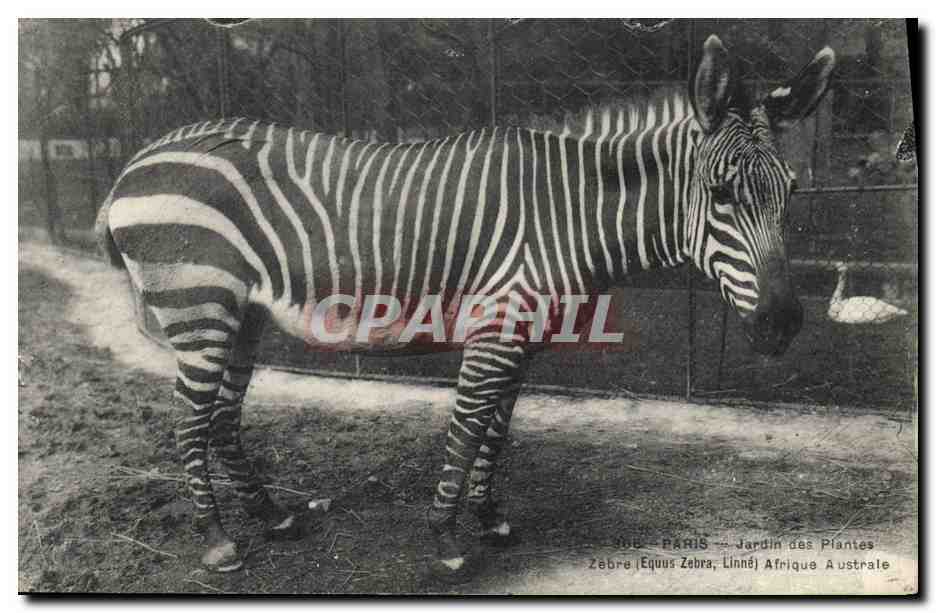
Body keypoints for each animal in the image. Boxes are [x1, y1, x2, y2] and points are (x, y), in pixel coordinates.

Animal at [96, 35, 834, 579]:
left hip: (242, 315)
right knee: (190, 421)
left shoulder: (523, 335)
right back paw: (219, 540)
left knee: (222, 417)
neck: (570, 214)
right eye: (721, 194)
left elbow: (497, 429)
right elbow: (467, 425)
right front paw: (447, 539)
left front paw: (490, 519)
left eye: (793, 191)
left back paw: (271, 516)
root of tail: (136, 159)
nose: (783, 325)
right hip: (200, 305)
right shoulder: (495, 329)